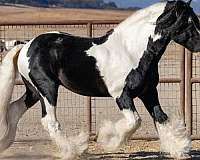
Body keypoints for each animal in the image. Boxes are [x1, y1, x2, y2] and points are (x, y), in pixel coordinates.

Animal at [0, 0, 200, 159]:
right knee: (49, 121)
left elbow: (161, 118)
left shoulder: (149, 92)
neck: (131, 51)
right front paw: (108, 141)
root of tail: (27, 44)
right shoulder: (122, 95)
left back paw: (6, 143)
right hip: (47, 88)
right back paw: (74, 150)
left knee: (14, 109)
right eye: (188, 22)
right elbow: (134, 121)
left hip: (34, 91)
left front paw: (179, 150)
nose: (199, 46)